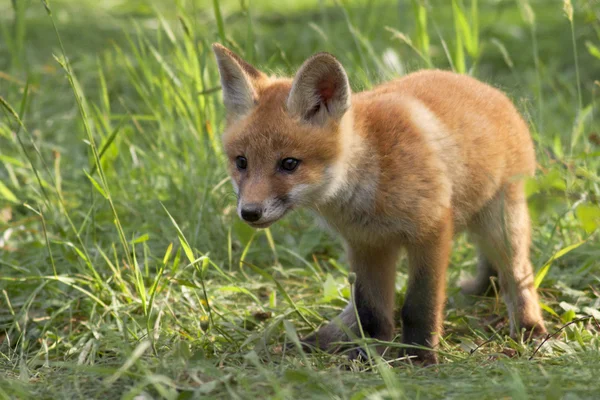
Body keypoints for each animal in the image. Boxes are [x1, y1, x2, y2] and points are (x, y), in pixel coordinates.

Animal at [213, 42, 548, 364]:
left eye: (289, 164)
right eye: (241, 162)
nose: (249, 212)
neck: (372, 185)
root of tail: (488, 89)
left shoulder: (431, 232)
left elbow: (418, 305)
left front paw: (419, 356)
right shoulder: (367, 244)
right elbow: (370, 311)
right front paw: (370, 355)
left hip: (503, 226)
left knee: (518, 276)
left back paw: (530, 328)